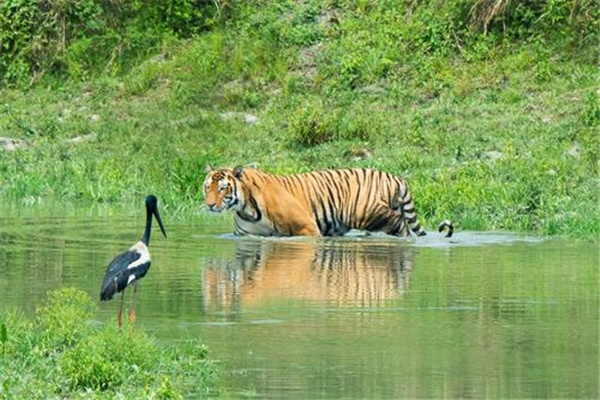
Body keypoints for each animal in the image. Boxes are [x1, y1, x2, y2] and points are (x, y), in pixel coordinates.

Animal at [204, 165, 452, 238]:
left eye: (223, 188)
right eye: (207, 187)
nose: (209, 205)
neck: (245, 208)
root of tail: (394, 176)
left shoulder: (307, 227)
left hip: (363, 213)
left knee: (400, 224)